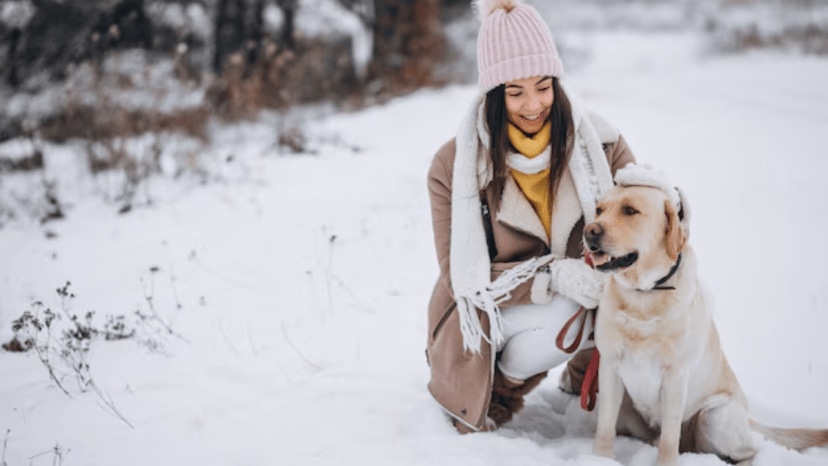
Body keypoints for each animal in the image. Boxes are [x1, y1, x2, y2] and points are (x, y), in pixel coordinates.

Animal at [584, 184, 828, 466]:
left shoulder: (676, 376)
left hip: (714, 416)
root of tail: (748, 418)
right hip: (629, 409)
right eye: (599, 210)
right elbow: (605, 427)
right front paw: (600, 460)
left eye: (630, 210)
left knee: (749, 450)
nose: (589, 230)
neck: (644, 296)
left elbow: (670, 438)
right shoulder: (610, 367)